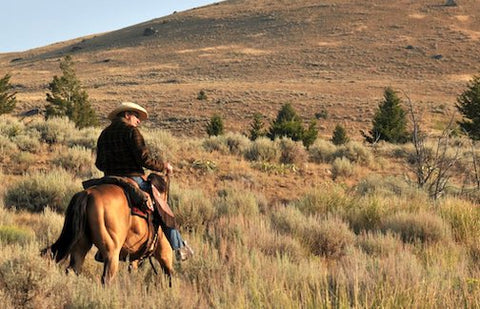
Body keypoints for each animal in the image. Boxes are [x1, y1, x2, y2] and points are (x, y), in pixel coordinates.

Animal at [40, 180, 172, 284]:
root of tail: (87, 194)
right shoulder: (161, 251)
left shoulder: (135, 259)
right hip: (112, 252)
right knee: (106, 278)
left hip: (81, 245)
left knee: (72, 269)